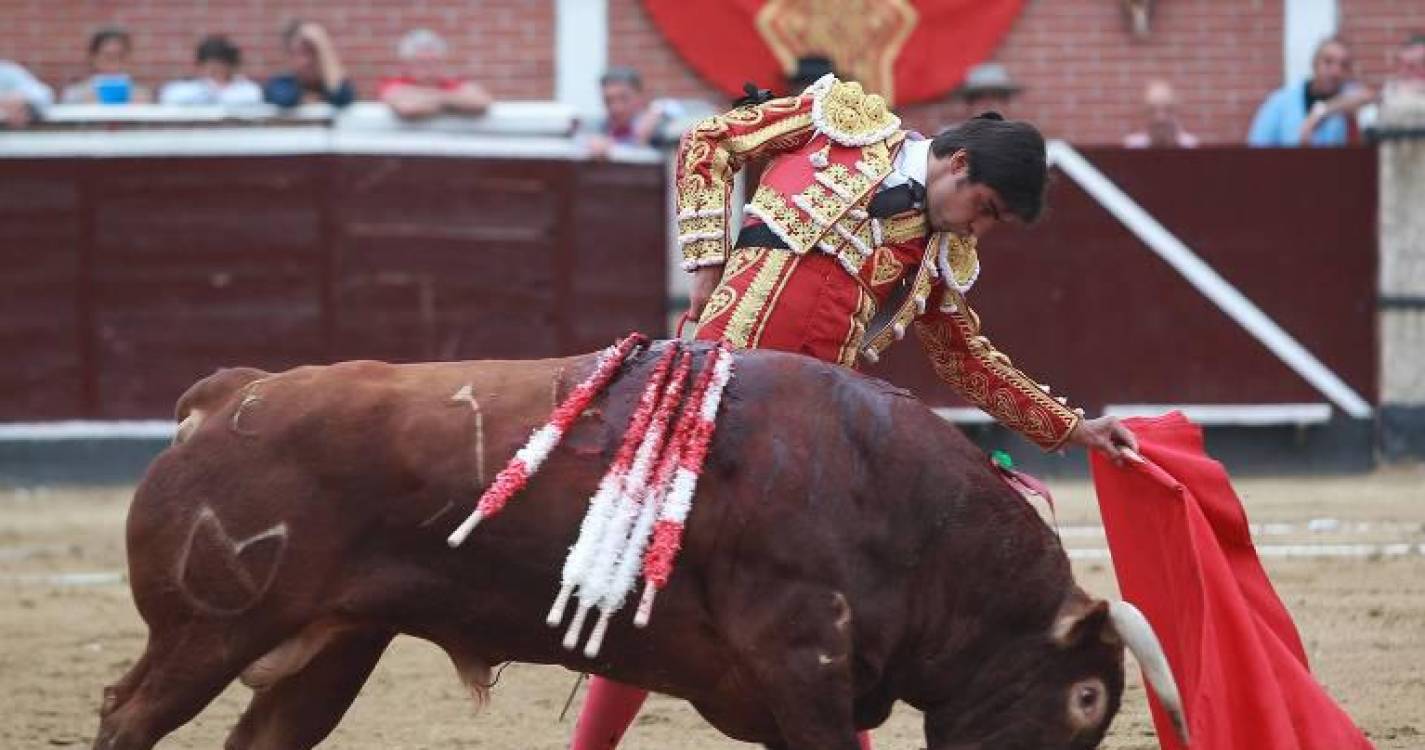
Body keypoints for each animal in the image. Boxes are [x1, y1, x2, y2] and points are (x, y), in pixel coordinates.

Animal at [91, 342, 1179, 750]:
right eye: (1088, 699)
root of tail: (226, 395)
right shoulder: (801, 662)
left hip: (331, 647)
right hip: (208, 633)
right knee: (130, 712)